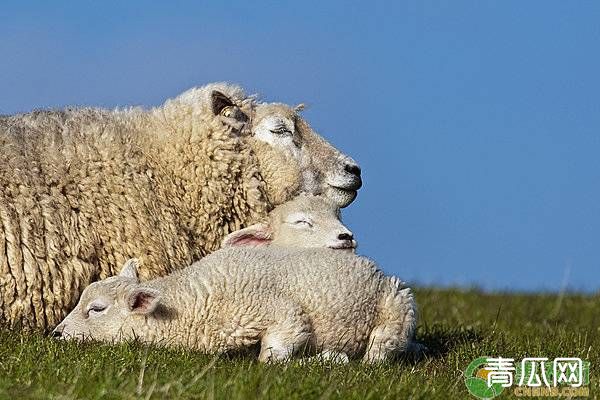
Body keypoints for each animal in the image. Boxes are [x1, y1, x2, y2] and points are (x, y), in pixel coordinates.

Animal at [52, 250, 418, 362]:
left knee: (382, 349)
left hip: (397, 302)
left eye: (97, 309)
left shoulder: (280, 312)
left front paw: (325, 360)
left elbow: (273, 356)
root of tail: (373, 268)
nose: (55, 334)